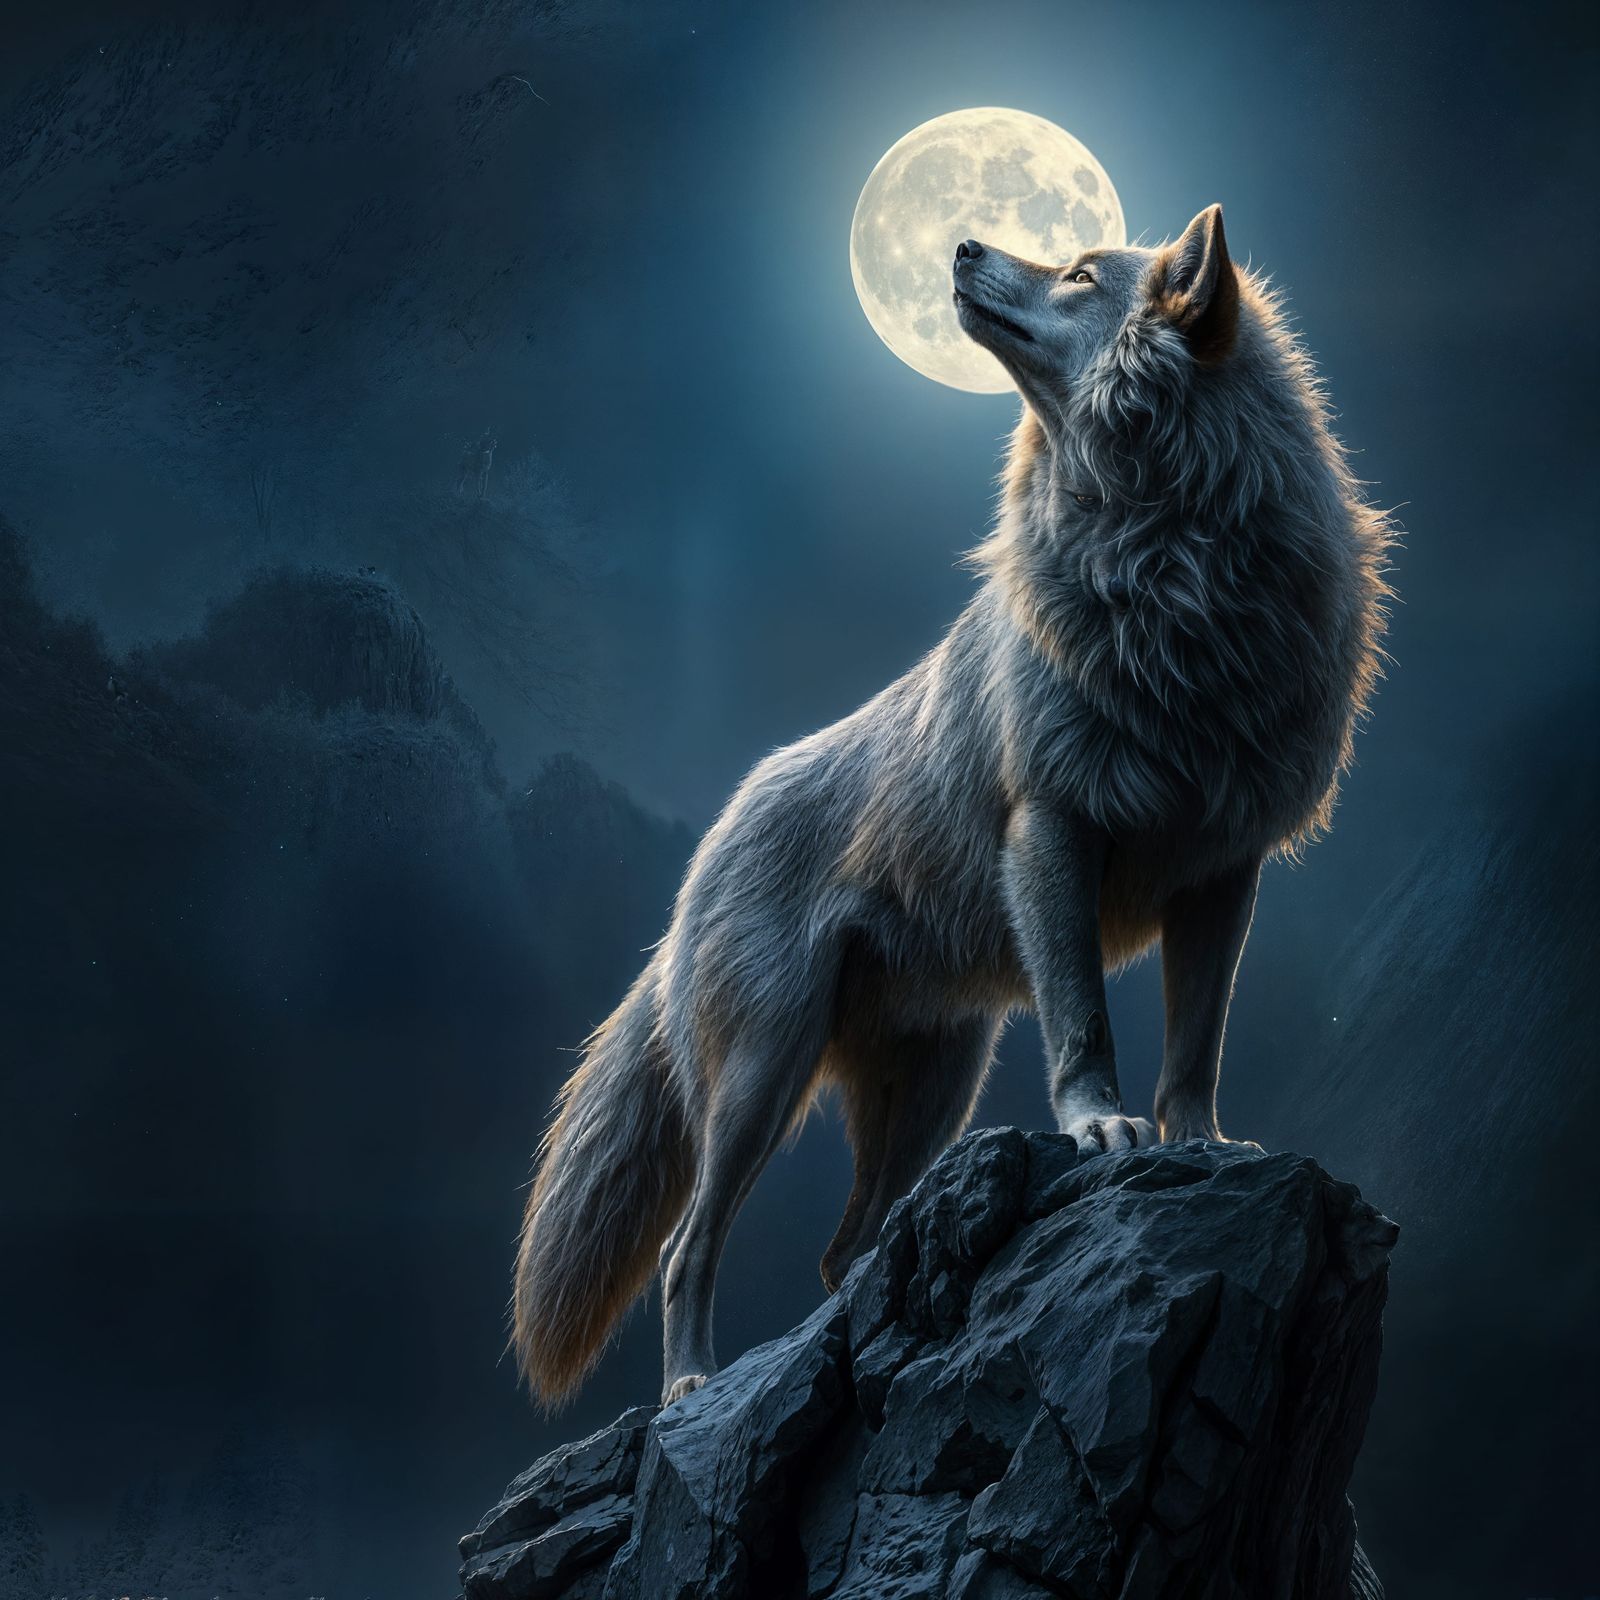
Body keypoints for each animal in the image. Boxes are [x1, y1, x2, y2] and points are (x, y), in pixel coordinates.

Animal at [513, 205, 1393, 1407]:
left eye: (1080, 273)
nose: (966, 242)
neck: (1168, 567)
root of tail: (715, 837)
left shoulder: (1224, 870)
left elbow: (1196, 1046)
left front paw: (1205, 1146)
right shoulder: (1054, 829)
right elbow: (1083, 1021)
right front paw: (1100, 1127)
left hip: (935, 1088)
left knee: (844, 1247)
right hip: (764, 1074)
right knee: (686, 1243)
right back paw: (694, 1387)